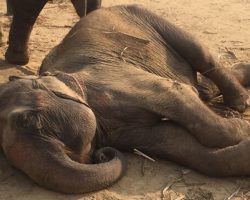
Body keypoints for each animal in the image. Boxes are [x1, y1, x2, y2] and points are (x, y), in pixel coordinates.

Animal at [0, 4, 250, 195]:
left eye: (31, 121)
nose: (102, 154)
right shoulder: (123, 132)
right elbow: (181, 145)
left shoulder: (117, 82)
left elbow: (178, 94)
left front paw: (243, 127)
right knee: (202, 85)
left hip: (150, 18)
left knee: (201, 56)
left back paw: (239, 103)